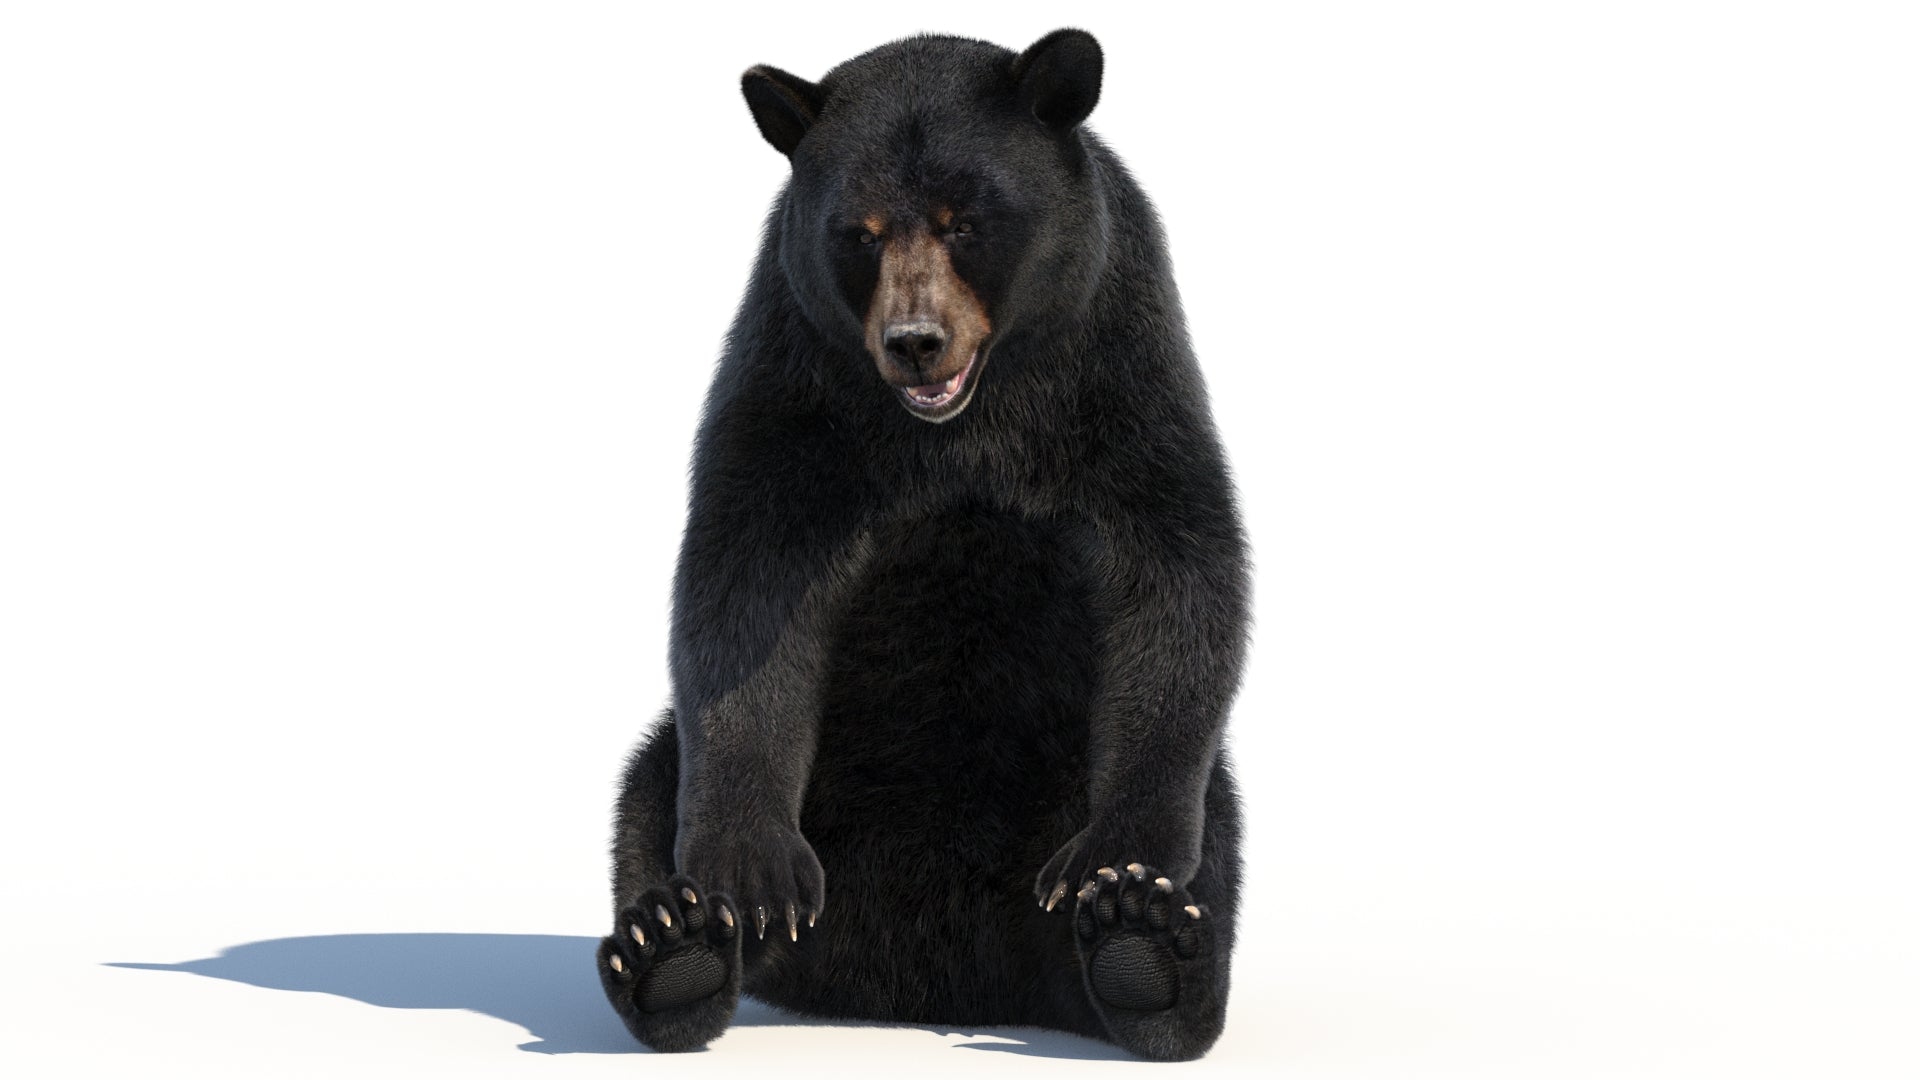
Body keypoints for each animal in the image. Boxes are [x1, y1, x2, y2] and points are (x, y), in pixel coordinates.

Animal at [595, 29, 1249, 1062]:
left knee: (1212, 828)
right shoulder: (800, 384)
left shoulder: (1115, 367)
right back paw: (675, 944)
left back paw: (1144, 952)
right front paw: (751, 872)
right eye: (857, 234)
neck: (960, 425)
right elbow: (745, 582)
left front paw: (1117, 865)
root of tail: (924, 983)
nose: (915, 341)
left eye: (967, 221)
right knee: (649, 786)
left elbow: (1174, 562)